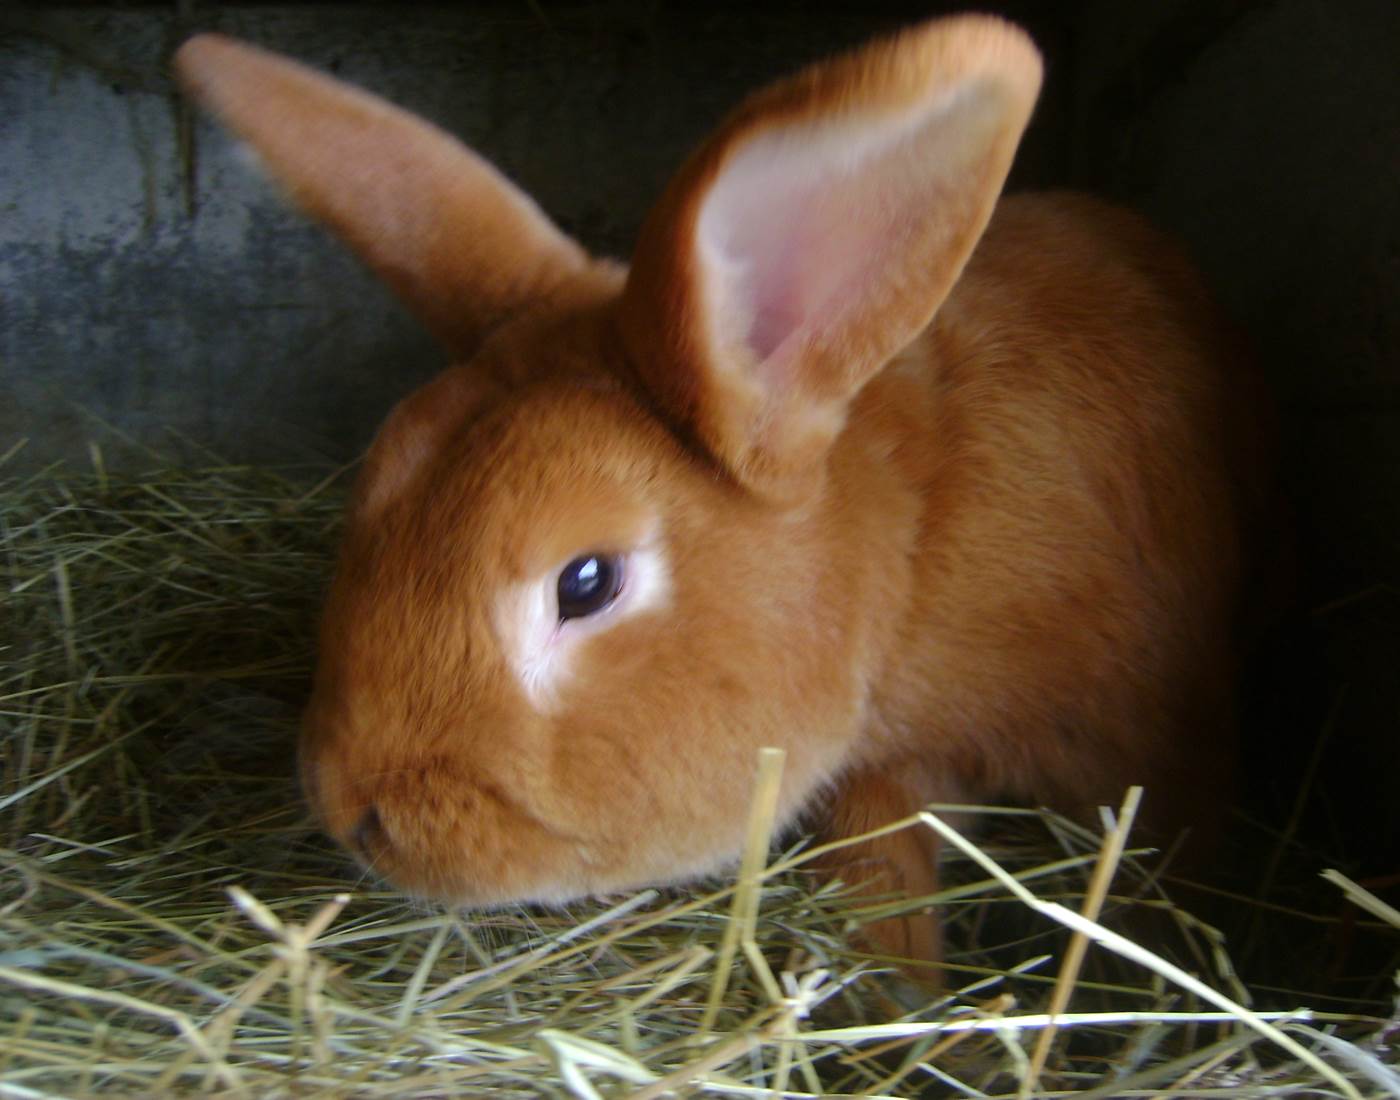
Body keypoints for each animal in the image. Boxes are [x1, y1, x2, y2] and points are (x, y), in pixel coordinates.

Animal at [176, 14, 1264, 968]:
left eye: (585, 582)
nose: (350, 808)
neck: (915, 541)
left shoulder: (1159, 745)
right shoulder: (879, 778)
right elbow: (886, 905)